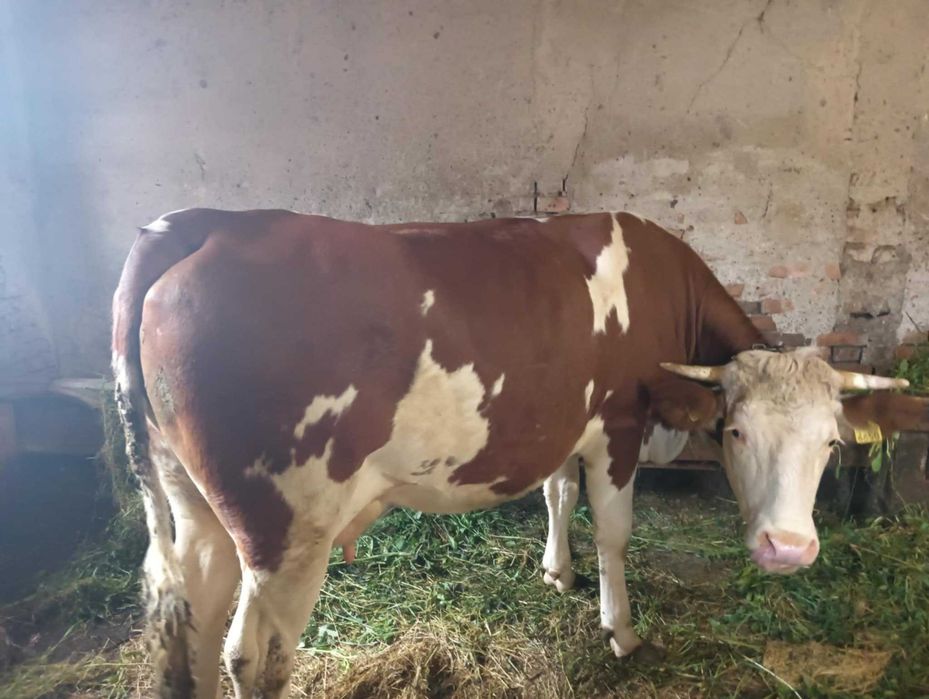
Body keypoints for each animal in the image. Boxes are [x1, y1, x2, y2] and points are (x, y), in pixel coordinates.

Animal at [111, 209, 922, 698]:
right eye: (736, 431)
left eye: (829, 441)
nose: (788, 549)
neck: (662, 286)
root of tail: (208, 225)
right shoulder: (616, 424)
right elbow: (615, 531)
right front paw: (621, 630)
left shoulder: (560, 423)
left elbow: (557, 493)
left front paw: (556, 572)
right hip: (285, 528)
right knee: (255, 654)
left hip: (195, 505)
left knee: (195, 623)